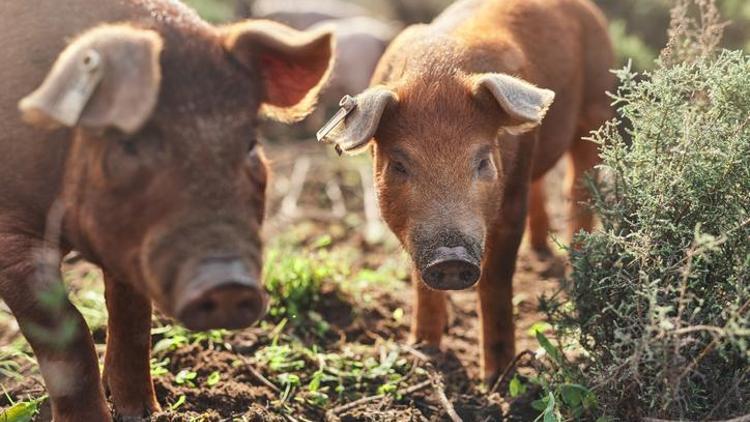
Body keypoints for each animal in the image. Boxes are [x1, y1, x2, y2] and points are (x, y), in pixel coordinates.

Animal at [0, 0, 334, 418]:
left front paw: (143, 413)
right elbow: (69, 332)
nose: (226, 283)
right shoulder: (10, 236)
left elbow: (132, 314)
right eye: (128, 144)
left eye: (250, 144)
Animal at [320, 0, 612, 382]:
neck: (437, 71)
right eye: (398, 165)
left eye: (483, 161)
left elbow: (496, 280)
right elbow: (420, 283)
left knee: (577, 188)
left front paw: (499, 380)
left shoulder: (510, 204)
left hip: (596, 106)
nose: (451, 257)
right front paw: (423, 349)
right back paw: (540, 252)